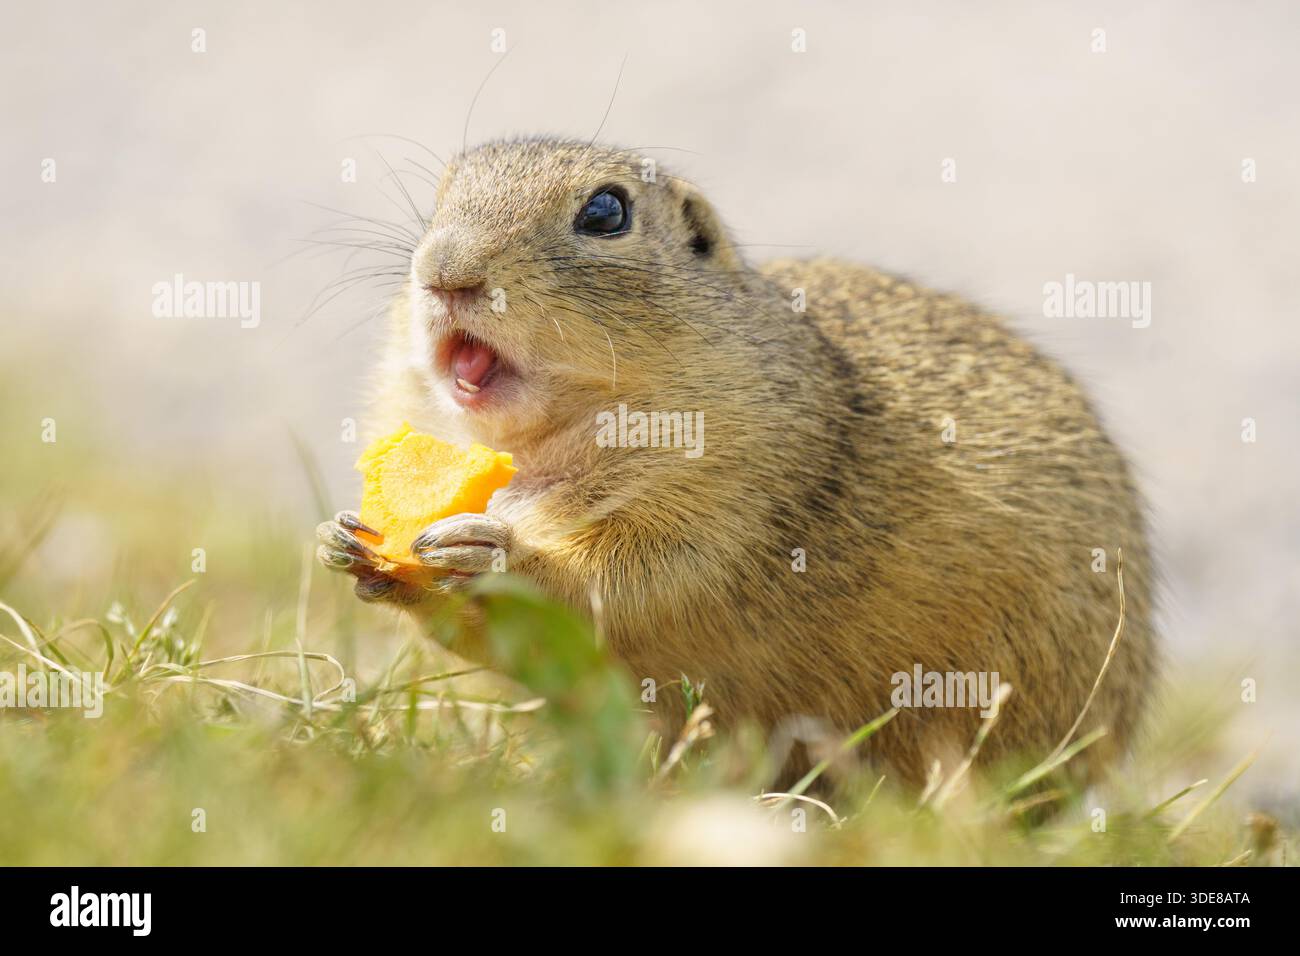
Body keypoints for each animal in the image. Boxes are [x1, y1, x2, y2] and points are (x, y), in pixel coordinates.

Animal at [317, 138, 1157, 787]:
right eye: (442, 194)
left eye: (606, 213)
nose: (443, 270)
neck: (539, 452)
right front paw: (349, 544)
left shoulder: (736, 501)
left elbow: (628, 581)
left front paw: (494, 552)